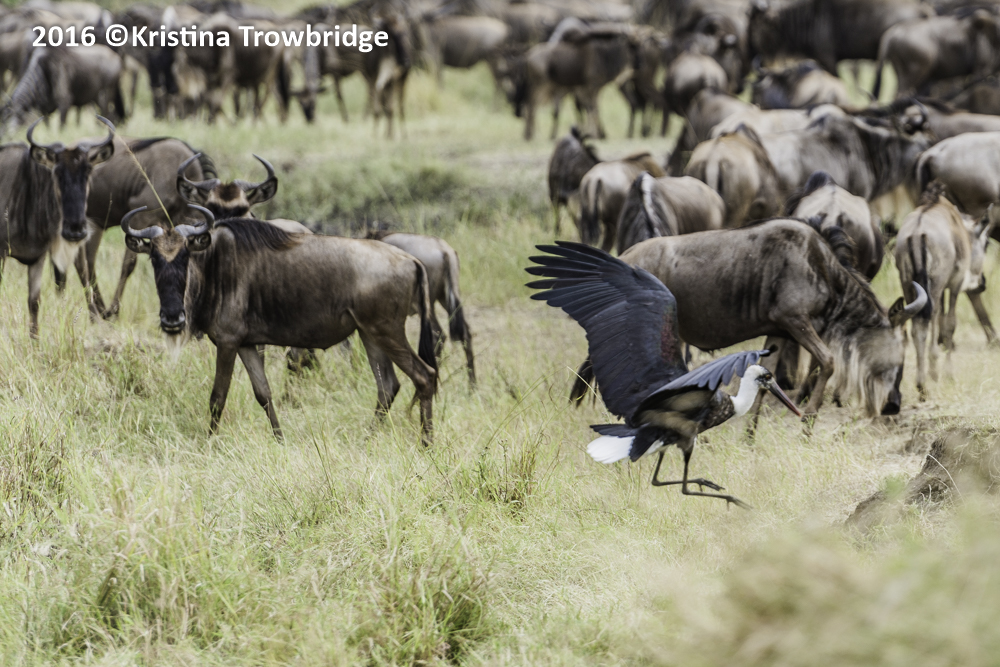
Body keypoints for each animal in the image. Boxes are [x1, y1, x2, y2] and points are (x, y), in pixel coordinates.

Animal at [0, 117, 114, 337]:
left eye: (88, 171)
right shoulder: (1, 253)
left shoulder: (38, 257)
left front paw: (34, 341)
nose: (76, 230)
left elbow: (34, 303)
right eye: (57, 172)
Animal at [120, 205, 439, 443]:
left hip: (387, 332)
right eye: (154, 258)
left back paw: (426, 443)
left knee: (425, 376)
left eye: (186, 255)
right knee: (388, 387)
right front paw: (280, 440)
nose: (172, 319)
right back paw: (368, 439)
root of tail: (410, 260)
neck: (214, 266)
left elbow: (217, 396)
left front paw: (209, 442)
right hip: (369, 334)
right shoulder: (246, 344)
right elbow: (264, 393)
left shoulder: (227, 342)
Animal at [368, 230, 476, 386]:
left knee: (438, 335)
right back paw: (472, 386)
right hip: (446, 299)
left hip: (425, 305)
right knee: (465, 333)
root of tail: (444, 249)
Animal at [894, 186, 996, 398]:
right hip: (933, 284)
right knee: (922, 324)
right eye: (985, 244)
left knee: (914, 323)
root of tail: (917, 232)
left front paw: (934, 368)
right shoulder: (954, 285)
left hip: (908, 284)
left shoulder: (939, 290)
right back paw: (922, 385)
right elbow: (949, 323)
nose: (982, 283)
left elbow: (937, 318)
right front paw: (947, 374)